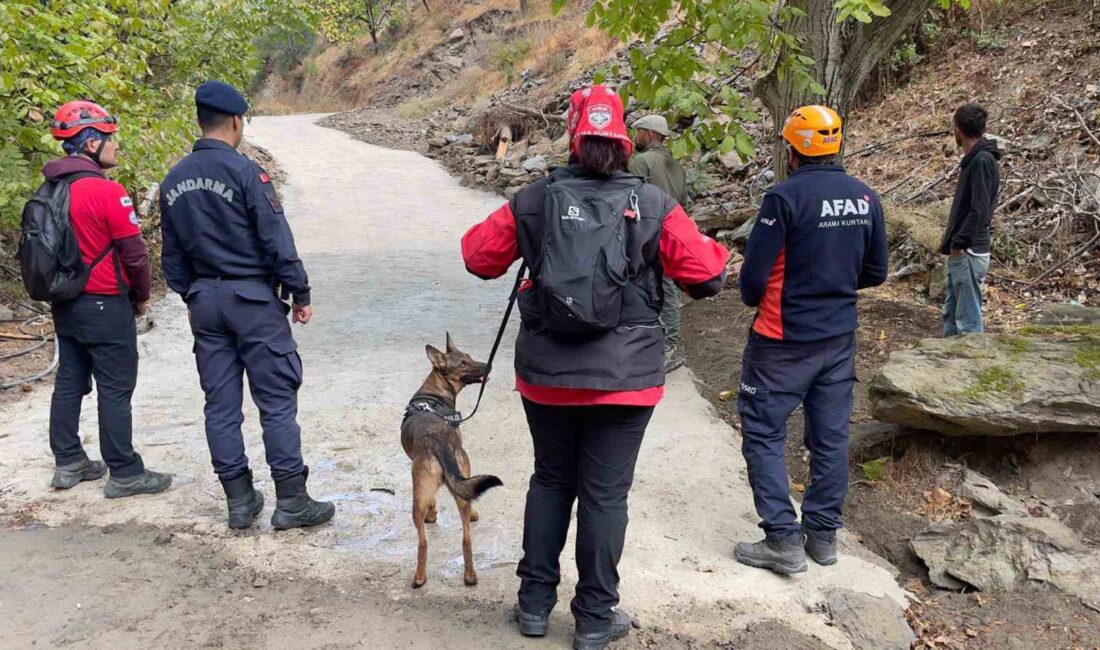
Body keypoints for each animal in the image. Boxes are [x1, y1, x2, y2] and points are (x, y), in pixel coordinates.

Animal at [402, 336, 503, 589]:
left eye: (470, 357)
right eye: (463, 363)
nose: (489, 365)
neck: (433, 392)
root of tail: (440, 442)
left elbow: (432, 501)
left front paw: (432, 515)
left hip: (417, 497)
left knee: (423, 542)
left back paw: (419, 577)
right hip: (457, 487)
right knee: (466, 538)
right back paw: (470, 576)